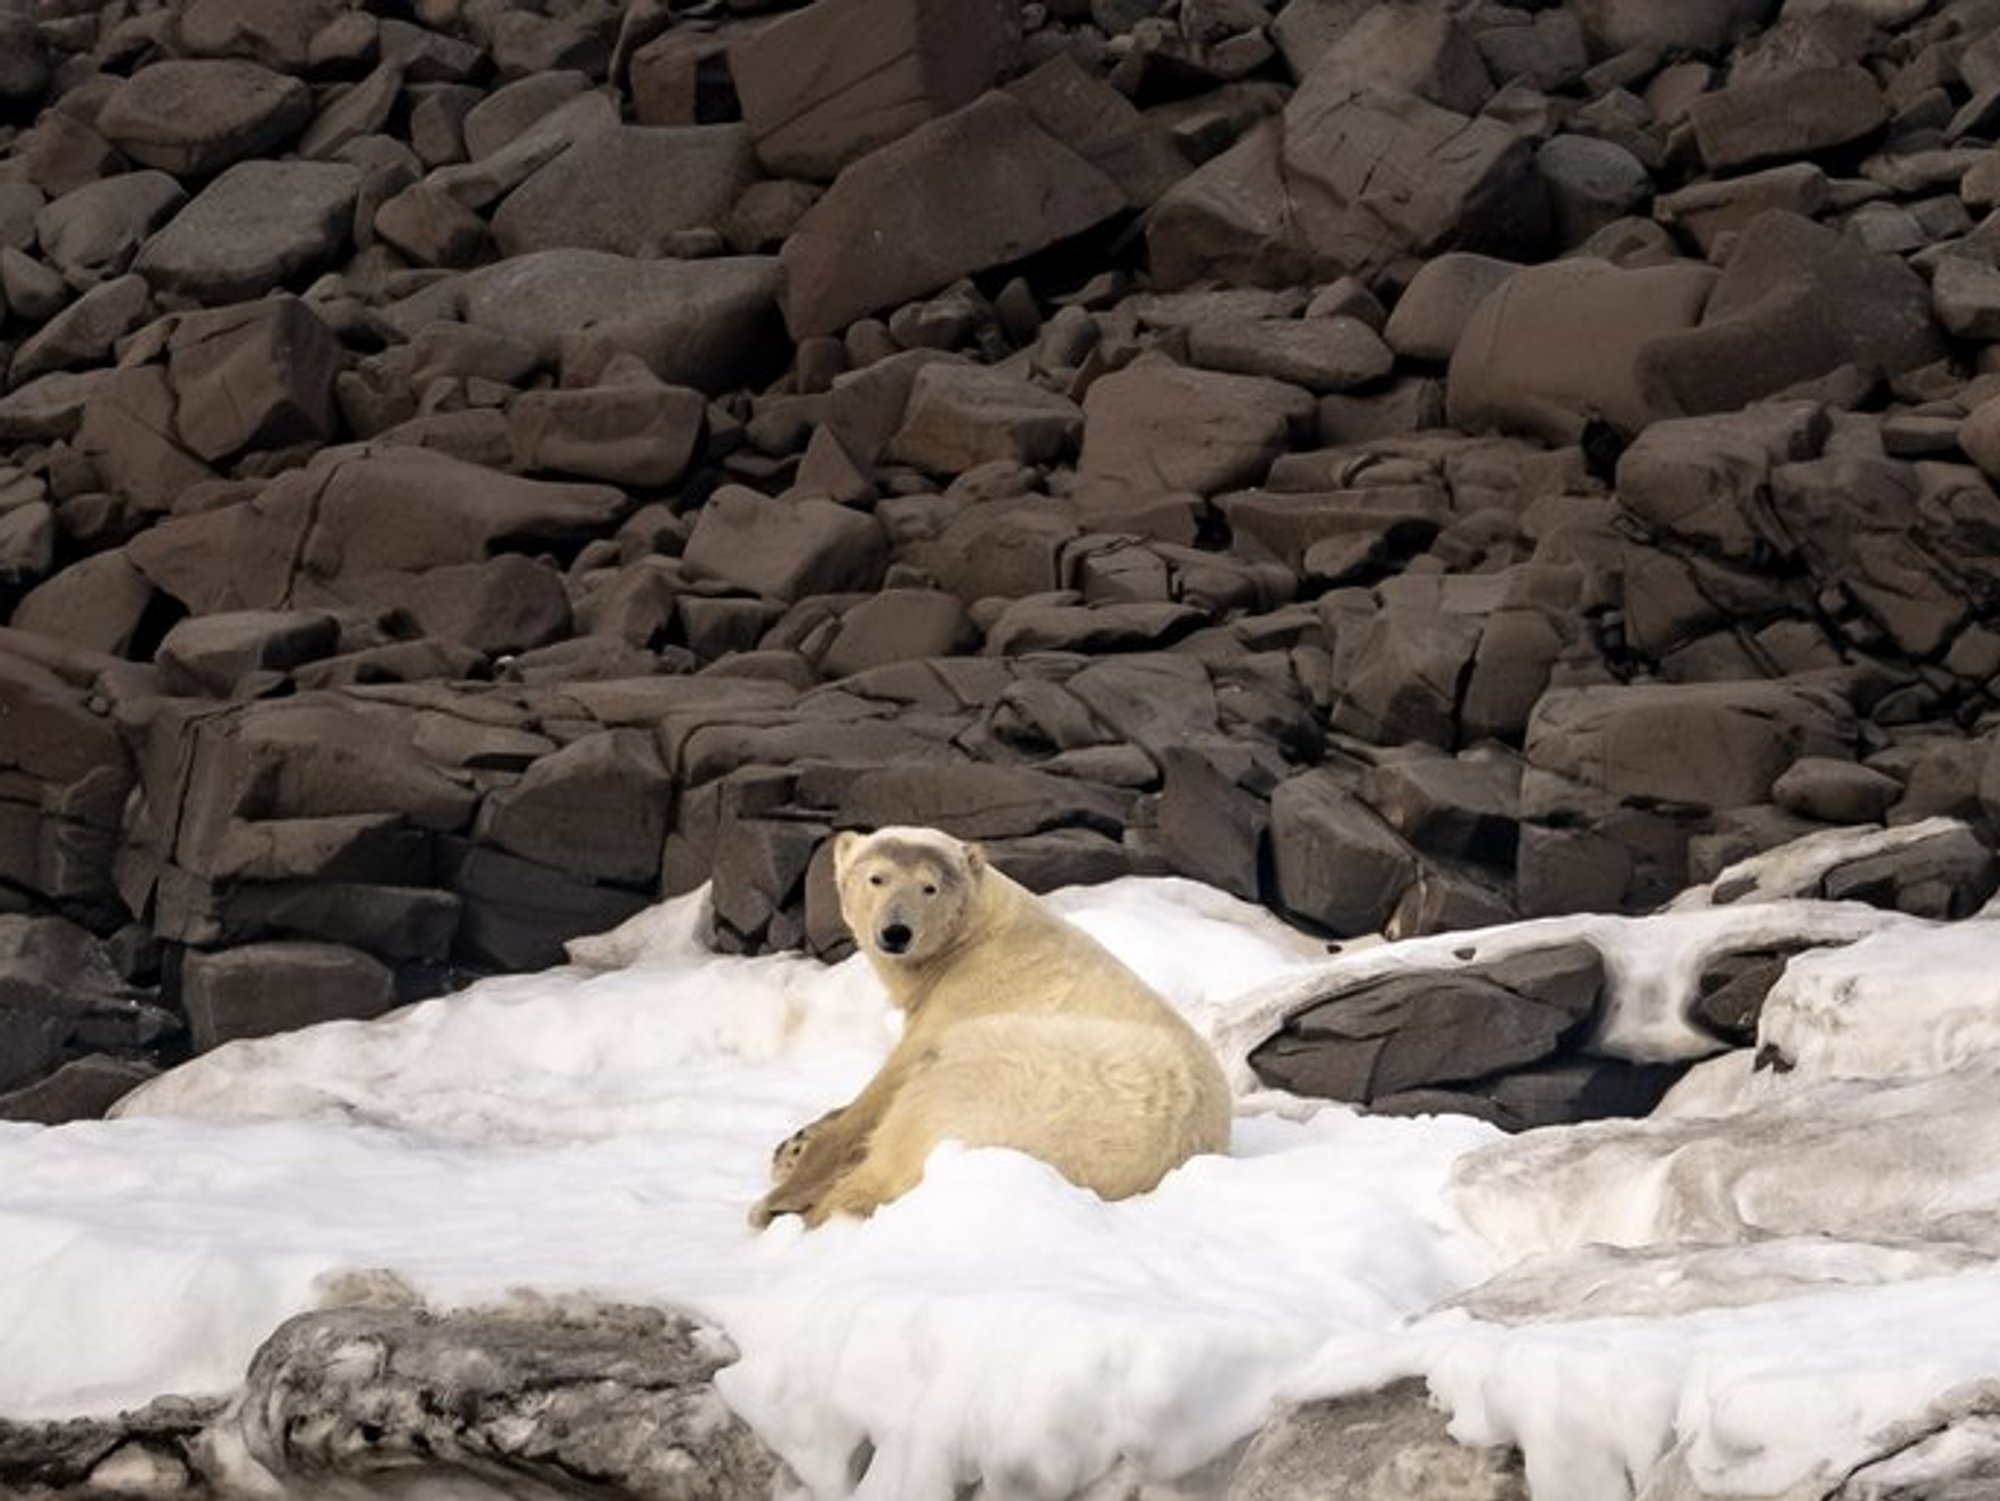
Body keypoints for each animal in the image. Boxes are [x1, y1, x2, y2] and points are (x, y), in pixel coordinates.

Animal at [751, 825, 1233, 1228]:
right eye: (877, 878)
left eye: (929, 887)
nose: (896, 932)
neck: (975, 934)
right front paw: (794, 1142)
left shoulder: (968, 991)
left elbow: (890, 1082)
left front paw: (787, 1182)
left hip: (1019, 1081)